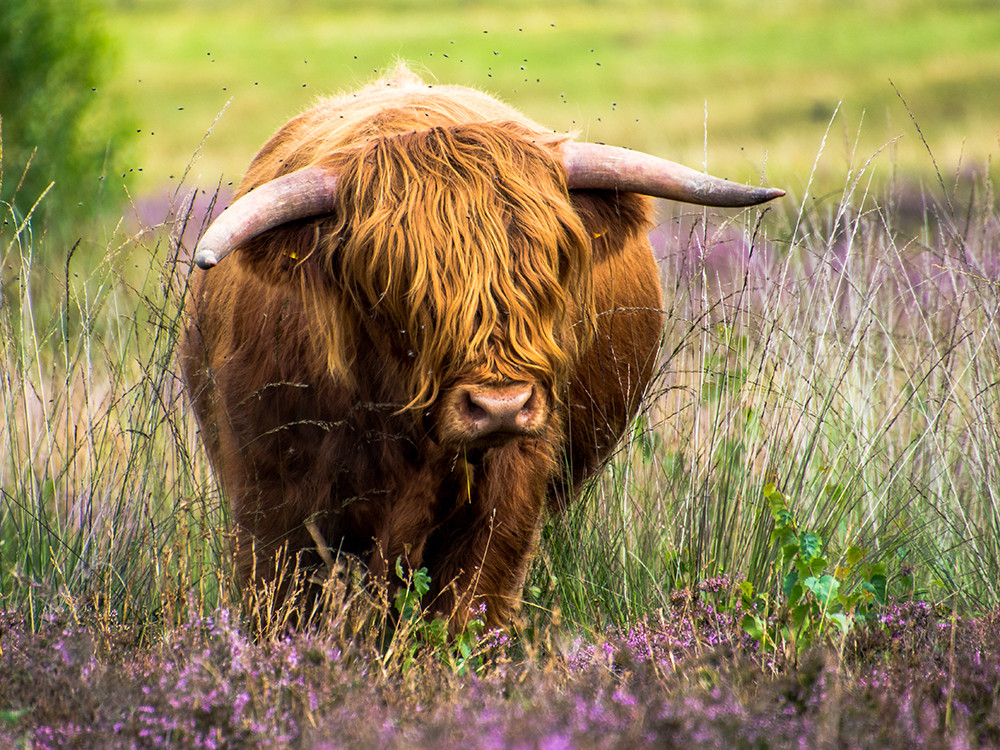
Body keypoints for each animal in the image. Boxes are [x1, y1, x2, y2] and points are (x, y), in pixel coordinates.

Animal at [184, 64, 784, 632]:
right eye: (389, 281)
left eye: (553, 265)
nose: (501, 407)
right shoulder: (270, 504)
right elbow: (281, 610)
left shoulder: (506, 502)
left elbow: (464, 615)